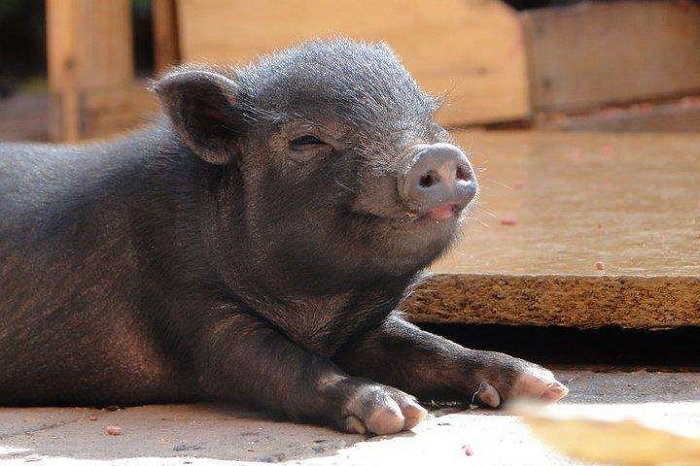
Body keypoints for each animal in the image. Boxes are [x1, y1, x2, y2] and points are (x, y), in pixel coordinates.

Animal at [0, 39, 567, 435]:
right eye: (307, 140)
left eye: (430, 118)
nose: (435, 155)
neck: (319, 311)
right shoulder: (187, 299)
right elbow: (275, 365)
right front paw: (398, 414)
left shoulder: (364, 330)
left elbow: (430, 346)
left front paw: (547, 386)